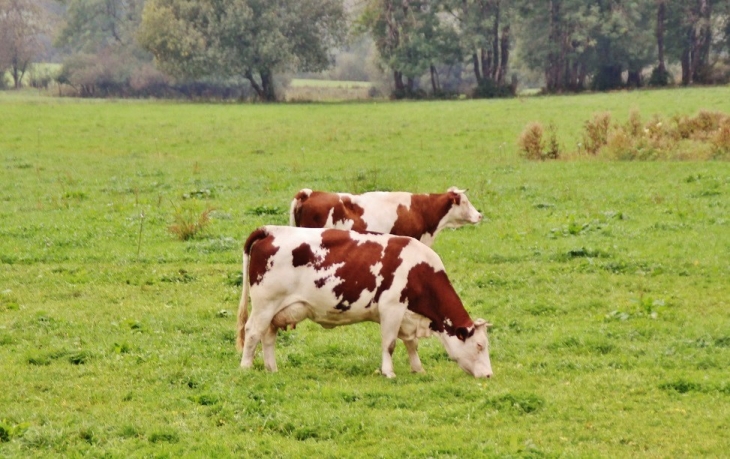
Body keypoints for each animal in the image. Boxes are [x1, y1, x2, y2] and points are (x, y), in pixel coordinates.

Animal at [236, 225, 492, 380]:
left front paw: (418, 369)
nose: (489, 375)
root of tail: (270, 230)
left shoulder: (406, 315)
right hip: (265, 304)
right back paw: (246, 367)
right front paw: (389, 373)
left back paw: (272, 369)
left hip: (275, 310)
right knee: (252, 332)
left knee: (268, 336)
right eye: (480, 346)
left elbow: (411, 343)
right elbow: (390, 344)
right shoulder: (391, 308)